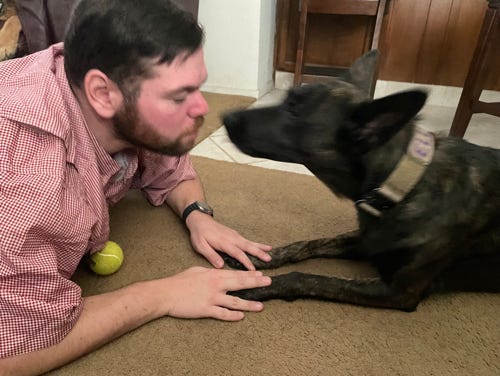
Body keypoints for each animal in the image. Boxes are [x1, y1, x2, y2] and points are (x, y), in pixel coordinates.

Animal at [221, 50, 500, 312]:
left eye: (294, 109)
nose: (226, 118)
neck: (402, 186)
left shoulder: (399, 292)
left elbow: (306, 278)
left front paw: (253, 288)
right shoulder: (366, 240)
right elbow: (308, 244)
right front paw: (259, 257)